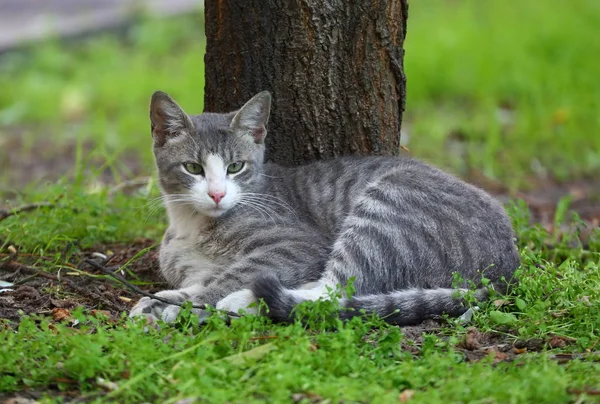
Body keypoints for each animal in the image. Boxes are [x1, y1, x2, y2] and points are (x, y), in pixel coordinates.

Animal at [130, 90, 520, 326]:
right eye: (193, 168)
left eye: (236, 167)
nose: (216, 194)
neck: (191, 225)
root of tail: (508, 268)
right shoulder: (190, 267)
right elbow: (203, 279)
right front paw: (159, 300)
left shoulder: (297, 245)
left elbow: (231, 275)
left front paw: (178, 306)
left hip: (386, 211)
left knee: (332, 292)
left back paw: (245, 301)